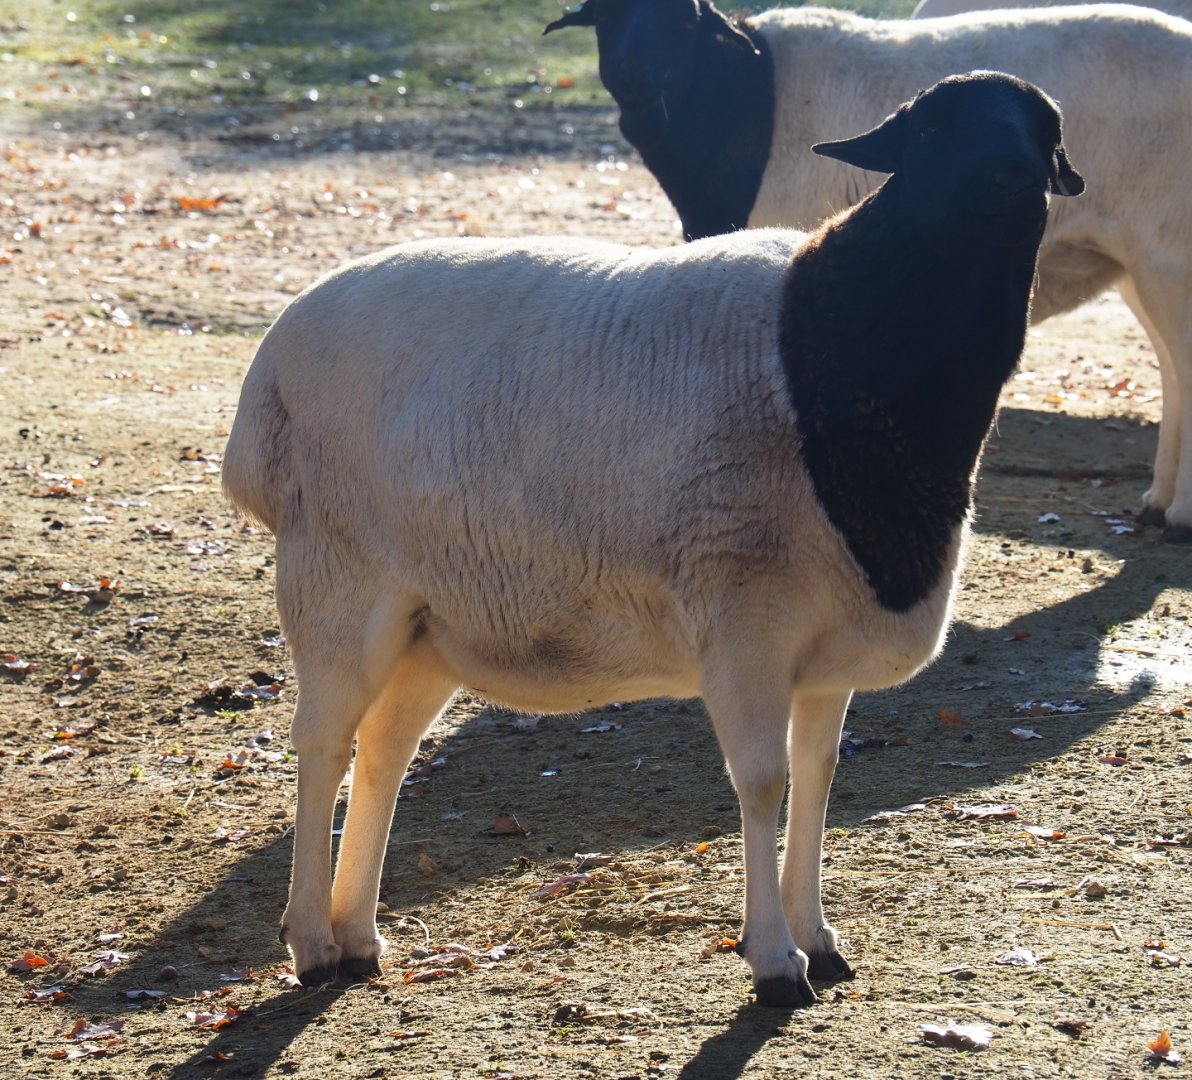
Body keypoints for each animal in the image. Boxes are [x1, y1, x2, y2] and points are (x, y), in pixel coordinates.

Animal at [222, 71, 1082, 1008]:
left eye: (1043, 132)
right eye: (930, 134)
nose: (1012, 178)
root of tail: (265, 376)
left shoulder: (826, 652)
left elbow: (818, 774)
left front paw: (818, 937)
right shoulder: (745, 620)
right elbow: (764, 780)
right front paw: (774, 960)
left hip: (428, 625)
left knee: (384, 751)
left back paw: (359, 938)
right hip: (337, 582)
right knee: (322, 747)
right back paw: (311, 942)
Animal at [543, 0, 1192, 542]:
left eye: (682, 19)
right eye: (606, 14)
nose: (632, 71)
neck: (745, 93)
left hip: (1166, 251)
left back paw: (1179, 514)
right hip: (1141, 261)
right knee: (1170, 365)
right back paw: (1156, 502)